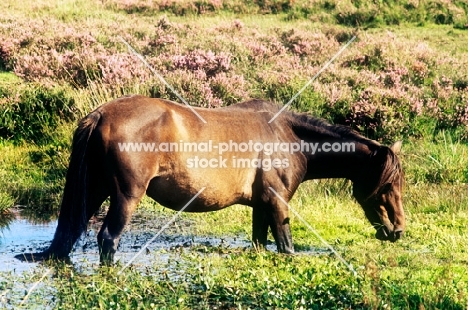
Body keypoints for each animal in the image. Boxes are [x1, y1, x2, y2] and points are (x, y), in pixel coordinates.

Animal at [13, 95, 402, 264]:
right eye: (388, 185)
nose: (397, 231)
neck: (290, 137)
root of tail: (100, 114)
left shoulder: (260, 205)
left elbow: (260, 243)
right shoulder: (278, 203)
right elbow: (287, 247)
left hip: (94, 190)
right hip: (124, 196)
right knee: (107, 239)